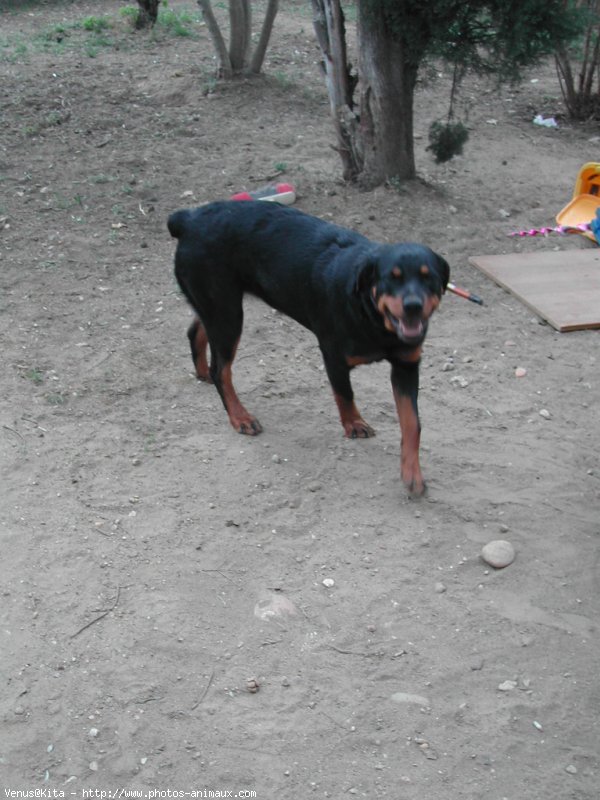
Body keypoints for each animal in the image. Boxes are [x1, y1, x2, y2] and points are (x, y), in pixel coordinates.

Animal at [166, 200, 448, 494]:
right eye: (391, 278)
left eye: (429, 278)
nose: (413, 305)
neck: (372, 316)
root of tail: (188, 219)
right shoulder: (333, 355)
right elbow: (345, 394)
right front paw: (354, 424)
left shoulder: (406, 365)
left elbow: (412, 423)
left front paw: (412, 473)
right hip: (227, 313)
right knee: (221, 369)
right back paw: (240, 416)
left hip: (218, 307)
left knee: (196, 331)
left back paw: (202, 373)